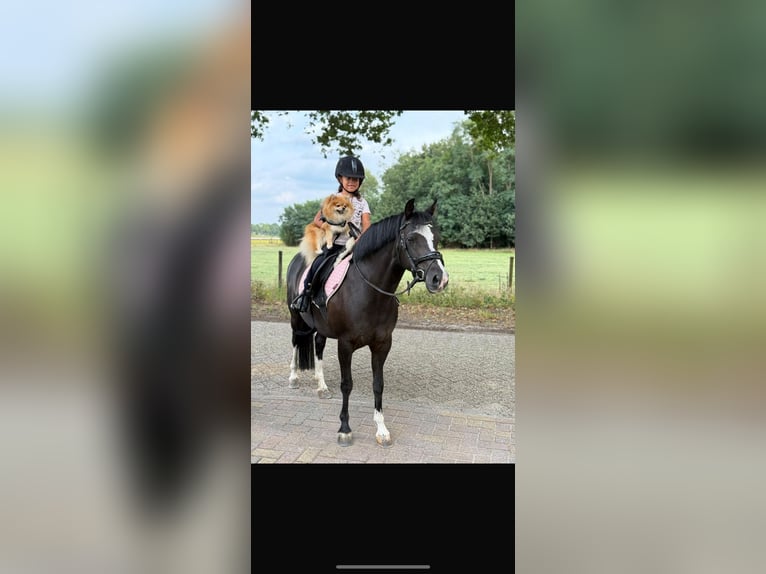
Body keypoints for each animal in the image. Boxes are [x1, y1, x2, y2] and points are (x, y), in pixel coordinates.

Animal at [285, 198, 449, 447]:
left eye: (436, 237)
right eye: (412, 238)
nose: (440, 279)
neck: (369, 291)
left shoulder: (382, 344)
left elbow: (378, 385)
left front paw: (381, 429)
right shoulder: (345, 344)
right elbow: (347, 384)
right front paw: (344, 429)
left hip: (321, 327)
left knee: (318, 346)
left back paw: (322, 386)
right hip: (295, 318)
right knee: (296, 342)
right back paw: (293, 377)